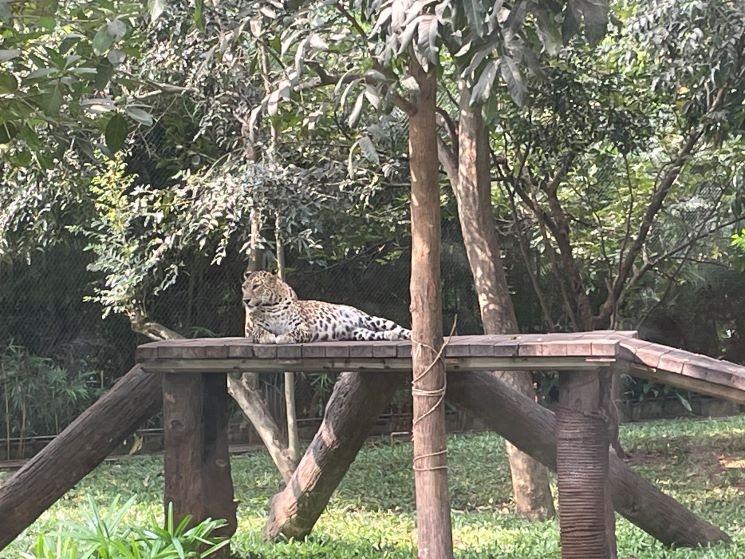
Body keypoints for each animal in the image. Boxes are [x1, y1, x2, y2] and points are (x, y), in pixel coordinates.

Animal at [241, 272, 410, 346]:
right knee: (378, 334)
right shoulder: (252, 330)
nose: (245, 300)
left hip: (371, 319)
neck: (271, 305)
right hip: (360, 333)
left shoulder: (303, 327)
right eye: (244, 287)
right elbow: (260, 331)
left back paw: (408, 335)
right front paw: (269, 337)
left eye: (256, 286)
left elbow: (294, 332)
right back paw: (392, 336)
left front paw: (284, 337)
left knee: (400, 328)